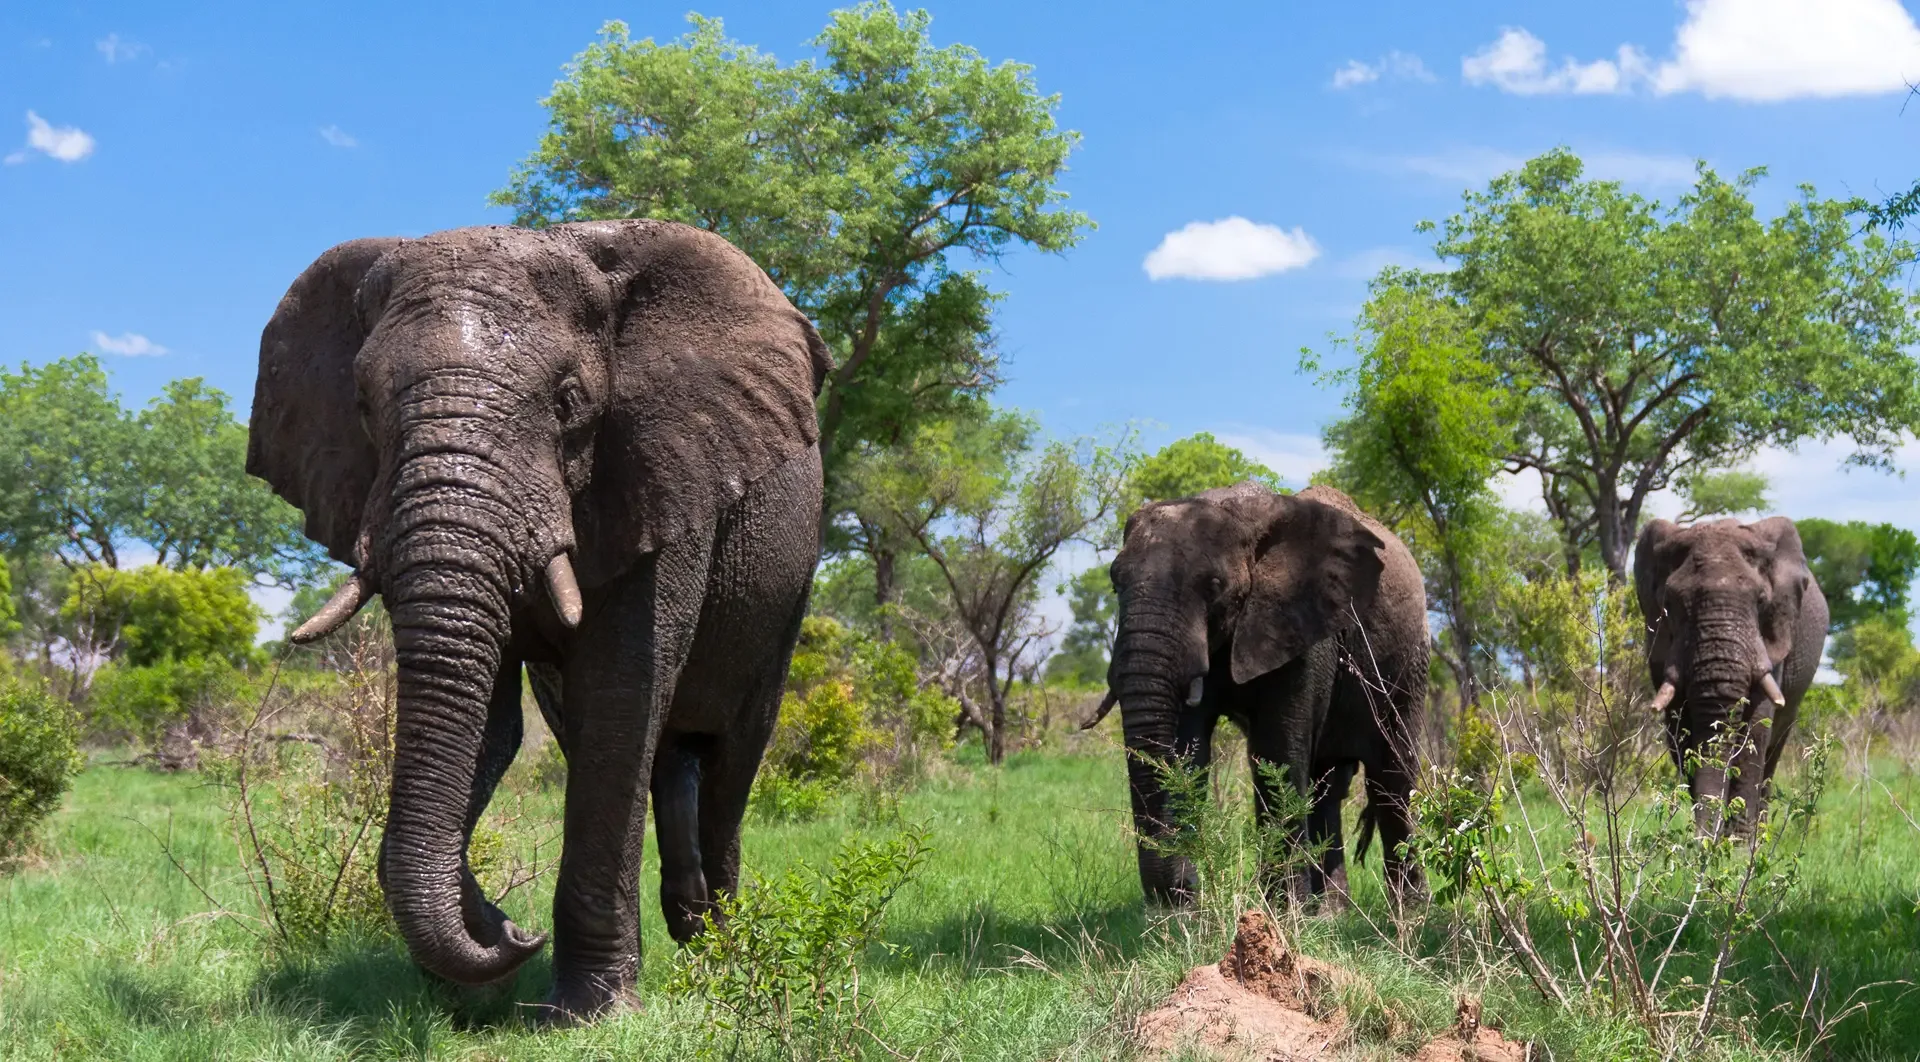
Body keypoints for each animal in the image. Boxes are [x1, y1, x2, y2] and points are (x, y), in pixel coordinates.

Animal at [246, 220, 831, 1021]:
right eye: (362, 405)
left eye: (567, 401)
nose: (518, 932)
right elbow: (495, 724)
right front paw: (486, 958)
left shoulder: (665, 475)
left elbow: (622, 692)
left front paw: (587, 1013)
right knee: (653, 753)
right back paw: (690, 927)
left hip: (789, 589)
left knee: (730, 759)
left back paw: (721, 948)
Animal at [1087, 483, 1429, 907]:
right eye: (1115, 582)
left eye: (1214, 586)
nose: (1186, 890)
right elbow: (1185, 748)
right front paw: (1186, 912)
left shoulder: (1302, 629)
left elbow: (1276, 751)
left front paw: (1282, 911)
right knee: (1328, 787)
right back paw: (1334, 912)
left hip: (1409, 663)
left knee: (1391, 780)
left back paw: (1408, 912)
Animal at [1634, 517, 1828, 835]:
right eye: (1670, 604)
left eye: (1761, 601)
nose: (1698, 841)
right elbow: (1680, 735)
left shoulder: (1771, 641)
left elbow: (1755, 732)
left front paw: (1737, 843)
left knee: (1774, 750)